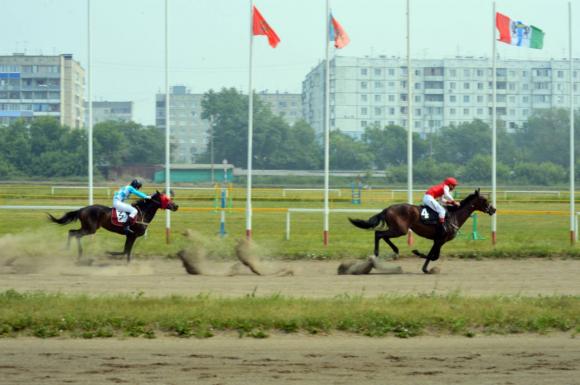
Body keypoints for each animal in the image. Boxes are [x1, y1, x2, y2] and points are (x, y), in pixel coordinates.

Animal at [48, 190, 177, 262]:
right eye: (165, 198)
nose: (176, 206)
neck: (142, 213)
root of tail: (82, 209)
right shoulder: (132, 235)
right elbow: (125, 251)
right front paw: (109, 253)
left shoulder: (130, 236)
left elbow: (127, 251)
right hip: (90, 229)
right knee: (74, 234)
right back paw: (73, 251)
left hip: (87, 228)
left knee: (72, 232)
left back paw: (75, 252)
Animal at [346, 188, 496, 272]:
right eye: (484, 199)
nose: (493, 209)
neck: (454, 215)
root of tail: (387, 209)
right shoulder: (440, 239)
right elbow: (433, 256)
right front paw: (420, 258)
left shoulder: (438, 241)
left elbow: (434, 255)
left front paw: (423, 263)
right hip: (401, 230)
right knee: (379, 233)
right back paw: (377, 254)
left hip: (398, 229)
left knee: (382, 235)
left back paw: (393, 251)